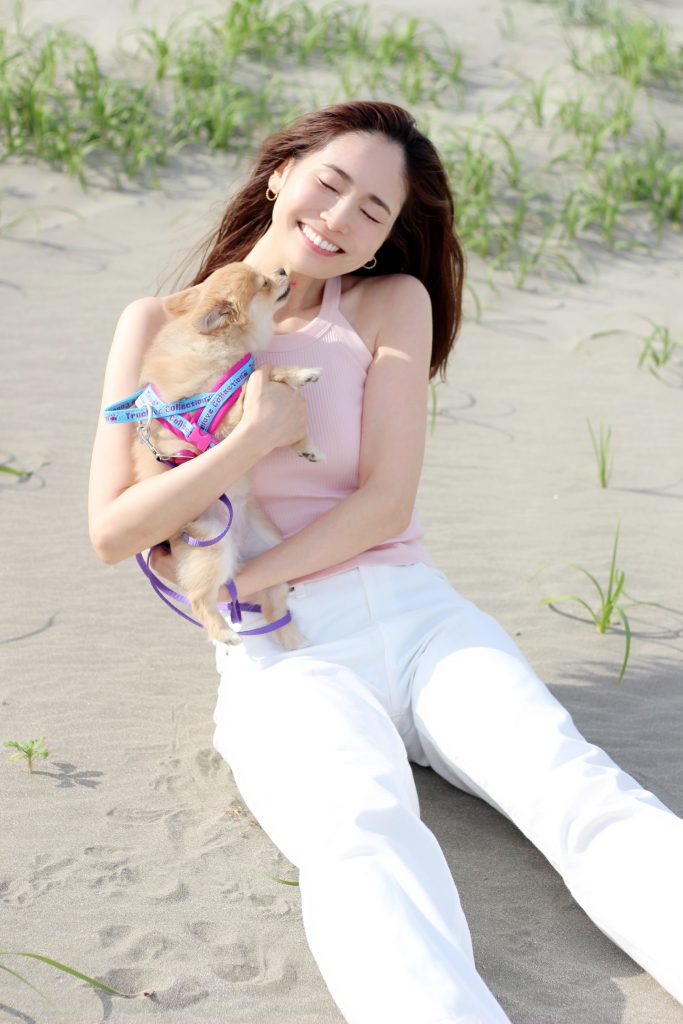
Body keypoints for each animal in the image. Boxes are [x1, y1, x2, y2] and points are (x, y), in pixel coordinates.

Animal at [133, 262, 322, 648]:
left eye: (265, 273)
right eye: (265, 283)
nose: (283, 269)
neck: (215, 341)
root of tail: (238, 548)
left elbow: (262, 376)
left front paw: (306, 447)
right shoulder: (225, 417)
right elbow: (262, 375)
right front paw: (301, 373)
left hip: (272, 551)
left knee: (273, 608)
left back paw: (294, 641)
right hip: (211, 548)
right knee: (200, 599)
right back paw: (224, 633)